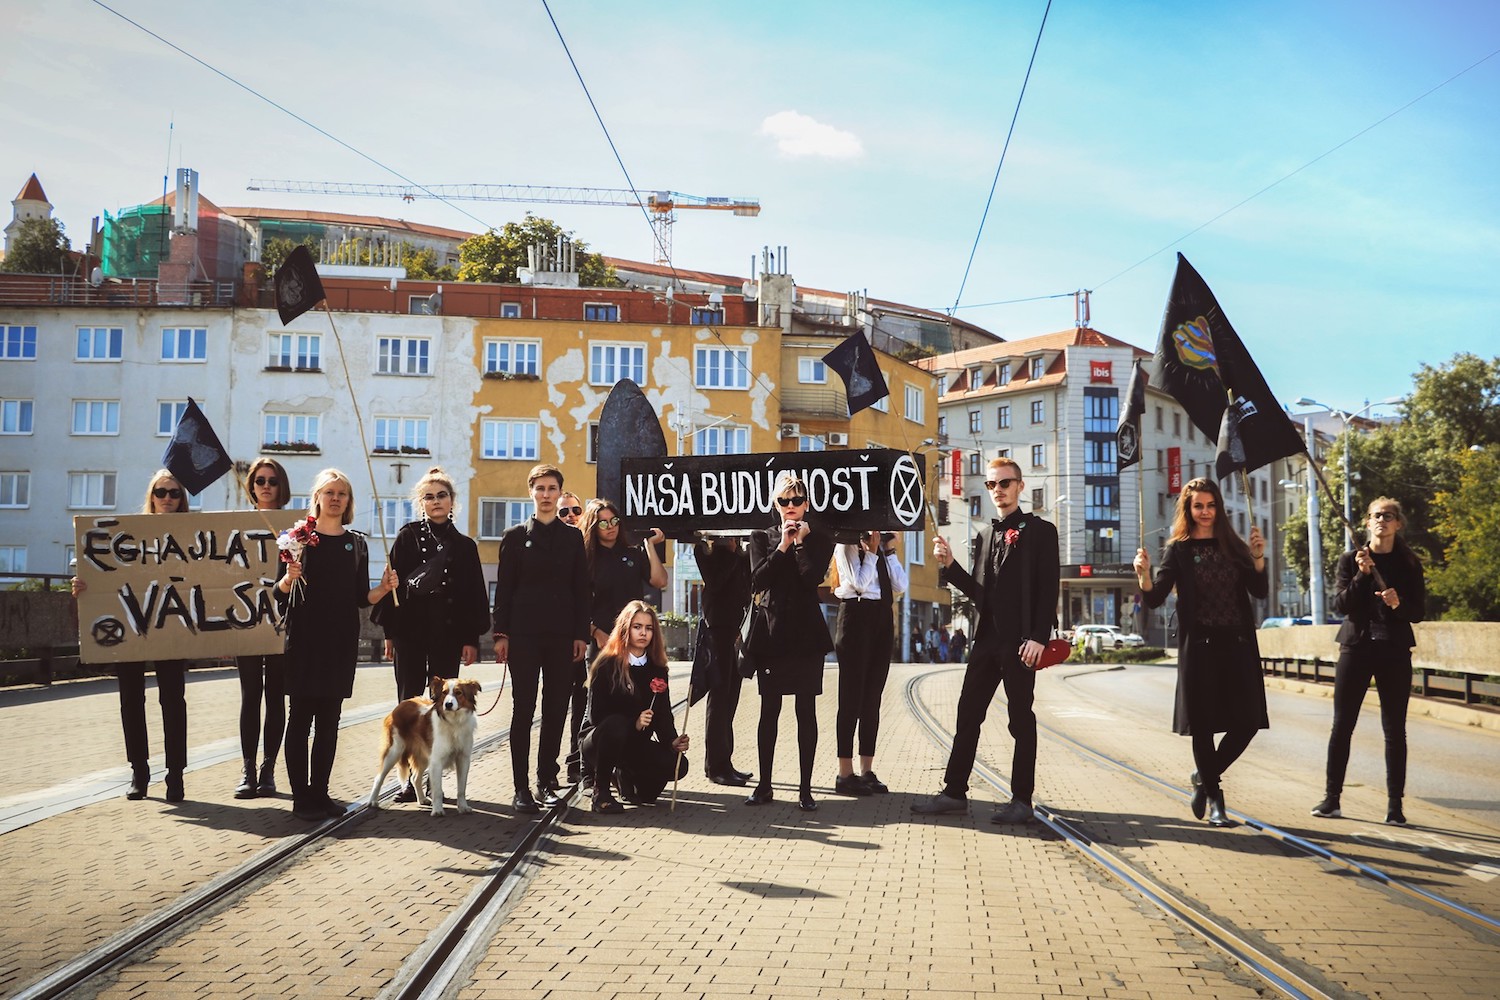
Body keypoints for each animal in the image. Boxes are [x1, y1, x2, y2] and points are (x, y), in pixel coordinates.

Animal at [364, 677, 477, 815]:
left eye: (458, 692)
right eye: (444, 692)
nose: (448, 705)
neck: (454, 722)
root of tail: (400, 705)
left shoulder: (463, 759)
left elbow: (461, 788)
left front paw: (463, 807)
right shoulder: (436, 761)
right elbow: (437, 790)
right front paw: (437, 810)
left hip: (422, 756)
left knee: (415, 778)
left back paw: (422, 799)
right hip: (394, 751)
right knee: (379, 777)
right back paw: (372, 801)